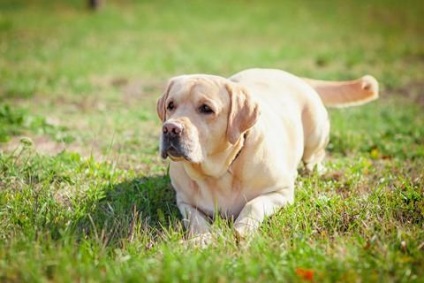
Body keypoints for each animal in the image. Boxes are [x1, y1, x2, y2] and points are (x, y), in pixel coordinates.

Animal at [157, 68, 378, 246]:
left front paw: (240, 231)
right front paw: (202, 238)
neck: (219, 172)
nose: (170, 128)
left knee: (314, 159)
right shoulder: (184, 201)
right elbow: (196, 219)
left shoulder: (281, 192)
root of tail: (294, 76)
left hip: (315, 135)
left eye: (206, 108)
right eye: (171, 105)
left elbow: (253, 205)